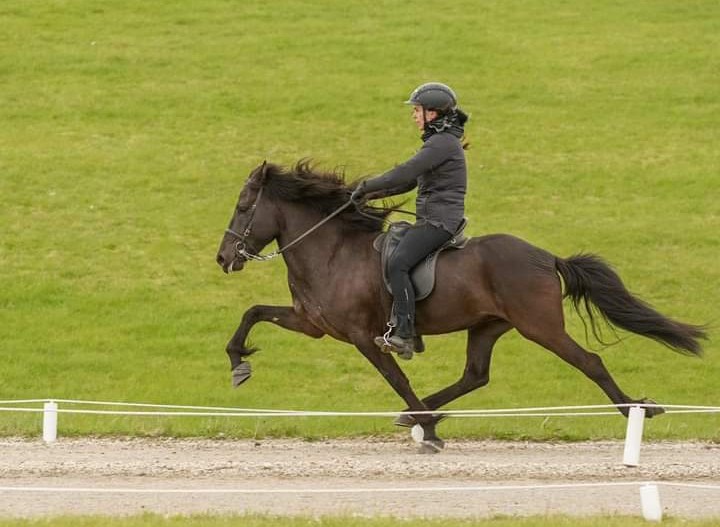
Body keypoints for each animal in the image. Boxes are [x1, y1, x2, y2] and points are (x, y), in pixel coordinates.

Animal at [217, 161, 704, 454]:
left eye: (243, 206)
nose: (224, 258)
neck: (332, 252)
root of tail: (547, 257)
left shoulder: (364, 337)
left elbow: (396, 377)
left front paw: (430, 432)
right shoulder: (312, 323)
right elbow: (252, 312)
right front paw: (239, 364)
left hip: (540, 326)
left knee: (590, 361)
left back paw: (636, 409)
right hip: (487, 326)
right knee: (476, 375)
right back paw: (422, 412)